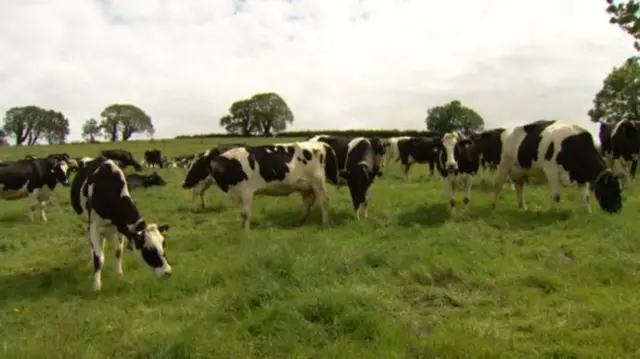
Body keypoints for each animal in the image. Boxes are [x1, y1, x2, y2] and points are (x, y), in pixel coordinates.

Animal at [70, 158, 172, 292]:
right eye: (148, 249)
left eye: (163, 244)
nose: (168, 272)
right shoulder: (94, 227)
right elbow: (99, 259)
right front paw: (96, 285)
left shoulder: (120, 228)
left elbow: (118, 252)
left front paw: (119, 275)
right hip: (86, 222)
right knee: (91, 244)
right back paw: (90, 260)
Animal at [182, 141, 338, 231]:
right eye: (189, 165)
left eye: (197, 166)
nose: (184, 184)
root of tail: (320, 144)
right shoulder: (239, 193)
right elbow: (242, 213)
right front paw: (241, 229)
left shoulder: (246, 191)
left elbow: (245, 214)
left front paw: (245, 233)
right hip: (305, 185)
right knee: (307, 202)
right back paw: (300, 222)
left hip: (318, 182)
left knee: (324, 201)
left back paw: (325, 223)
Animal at [492, 119, 624, 215]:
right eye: (612, 189)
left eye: (619, 189)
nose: (618, 209)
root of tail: (507, 131)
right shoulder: (551, 170)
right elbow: (556, 196)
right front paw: (554, 213)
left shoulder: (581, 177)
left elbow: (586, 197)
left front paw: (589, 213)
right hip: (504, 165)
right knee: (498, 184)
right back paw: (495, 206)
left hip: (520, 170)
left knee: (520, 188)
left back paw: (523, 207)